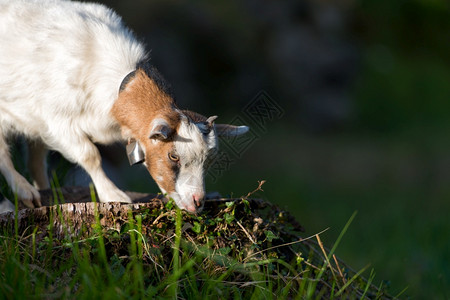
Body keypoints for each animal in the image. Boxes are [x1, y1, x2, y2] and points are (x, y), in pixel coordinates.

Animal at [0, 1, 248, 214]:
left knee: (34, 160)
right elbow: (90, 155)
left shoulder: (44, 124)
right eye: (173, 156)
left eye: (209, 160)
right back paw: (21, 194)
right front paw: (114, 195)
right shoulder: (59, 120)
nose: (197, 202)